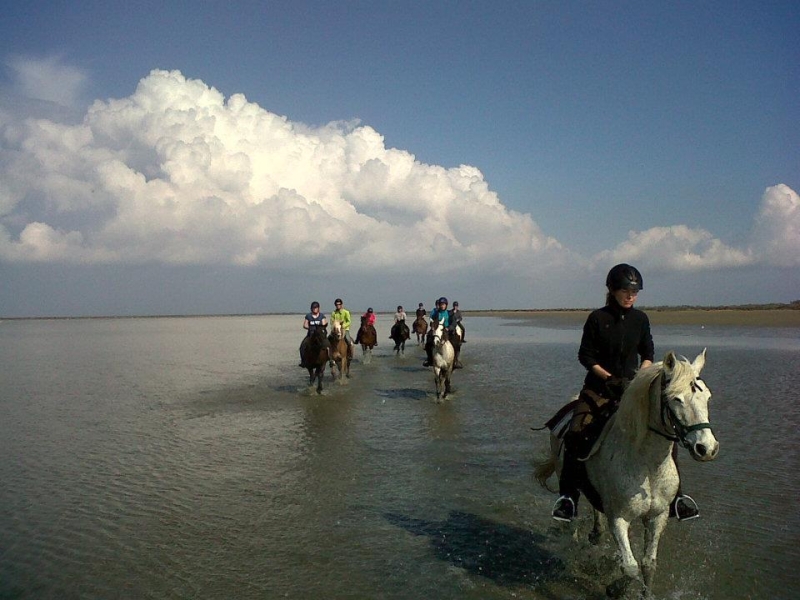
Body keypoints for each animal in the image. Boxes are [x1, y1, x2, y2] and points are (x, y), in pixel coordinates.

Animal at [536, 350, 716, 596]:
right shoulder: (619, 518)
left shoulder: (657, 517)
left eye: (707, 397)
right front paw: (615, 589)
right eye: (676, 399)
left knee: (597, 515)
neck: (647, 464)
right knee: (571, 519)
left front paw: (646, 594)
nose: (707, 448)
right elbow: (630, 567)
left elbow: (649, 564)